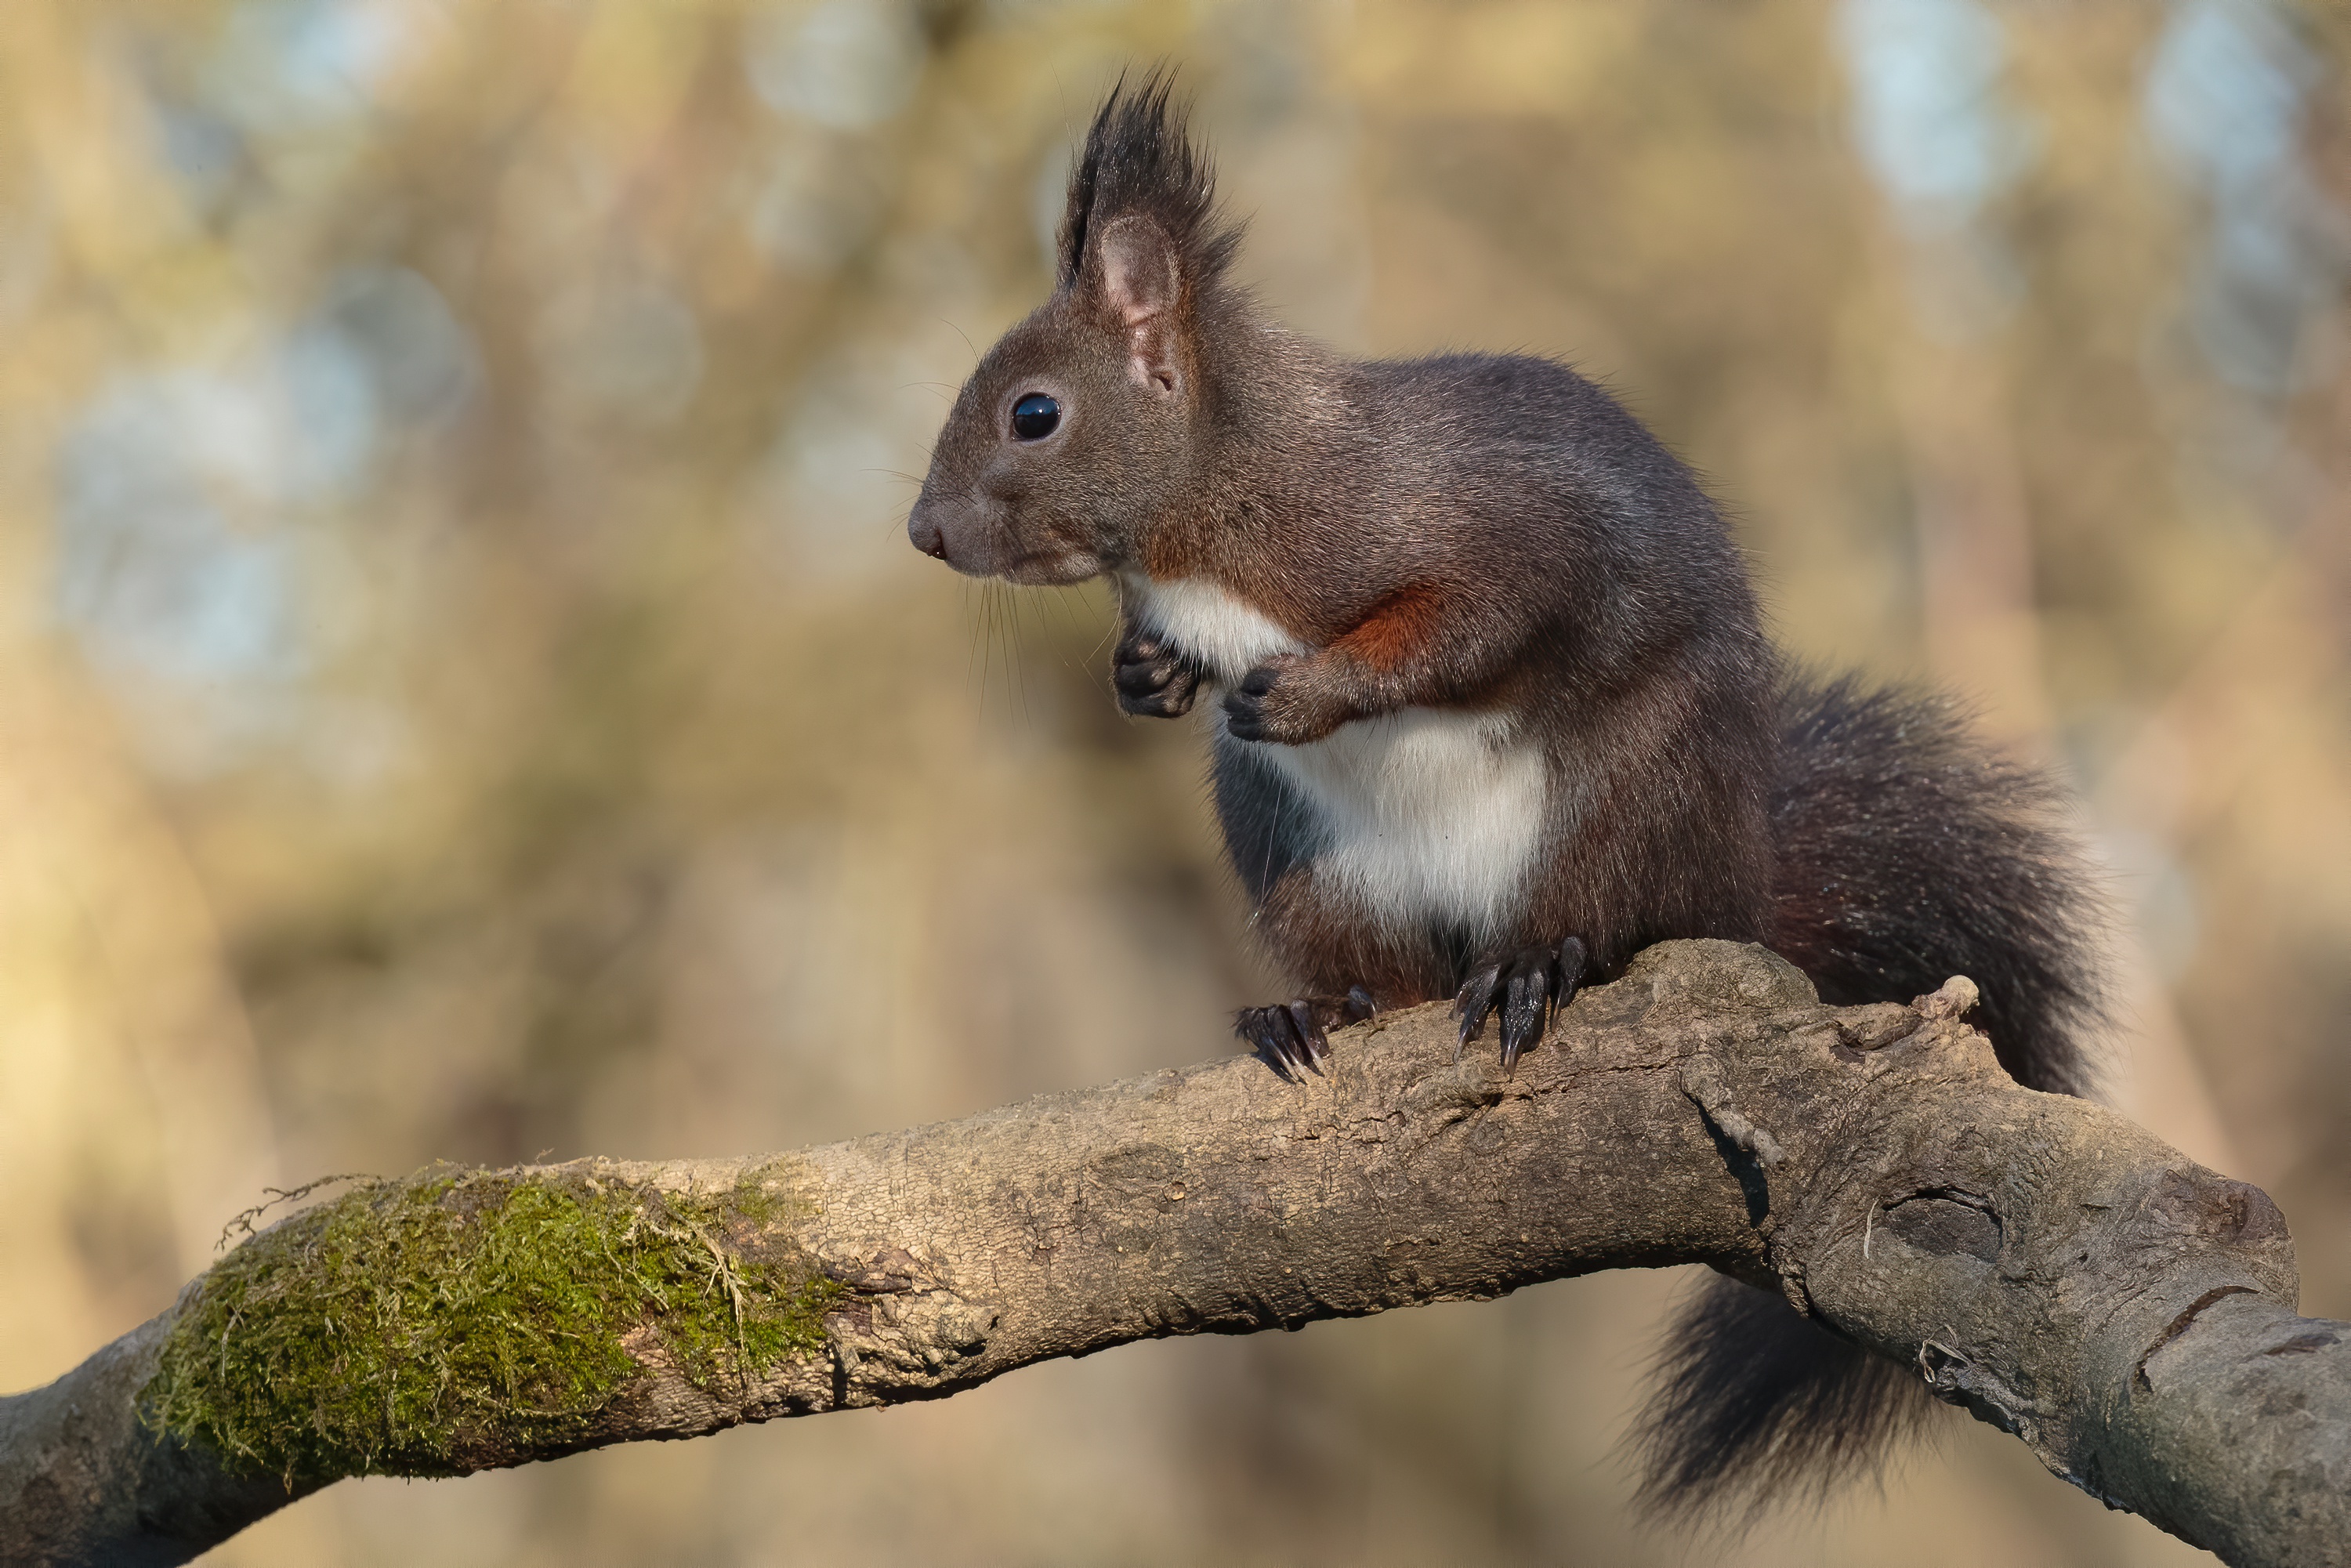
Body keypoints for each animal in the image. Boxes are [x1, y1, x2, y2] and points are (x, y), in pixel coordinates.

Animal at [903, 80, 2116, 1523]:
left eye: (1033, 414)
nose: (921, 532)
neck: (1212, 523)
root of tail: (1733, 881)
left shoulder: (1474, 526)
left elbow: (1472, 620)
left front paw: (1311, 691)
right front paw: (1148, 674)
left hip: (1622, 803)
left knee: (1598, 925)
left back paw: (1542, 965)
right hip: (1305, 859)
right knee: (1390, 979)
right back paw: (1318, 1009)